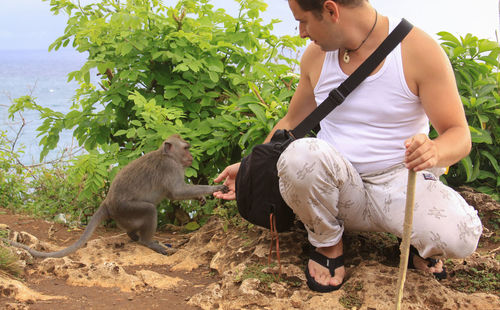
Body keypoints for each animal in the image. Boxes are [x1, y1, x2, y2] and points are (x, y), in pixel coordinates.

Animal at [2, 134, 229, 258]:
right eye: (186, 148)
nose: (191, 157)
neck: (167, 155)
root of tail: (107, 203)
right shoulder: (171, 168)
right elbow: (176, 192)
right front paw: (212, 189)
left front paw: (200, 198)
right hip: (126, 209)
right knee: (149, 209)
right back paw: (147, 242)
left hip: (124, 215)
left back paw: (133, 236)